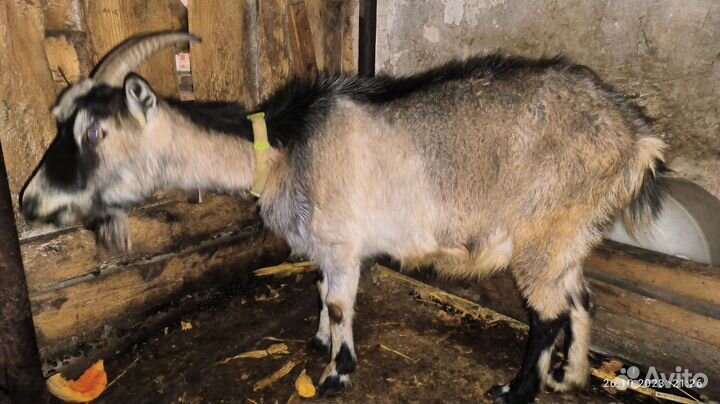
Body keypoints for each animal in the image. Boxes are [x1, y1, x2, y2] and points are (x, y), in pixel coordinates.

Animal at [22, 33, 667, 403]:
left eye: (96, 132)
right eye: (60, 121)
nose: (30, 201)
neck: (285, 147)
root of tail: (637, 138)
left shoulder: (341, 241)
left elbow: (337, 301)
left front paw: (337, 373)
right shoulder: (324, 245)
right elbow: (318, 290)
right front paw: (317, 345)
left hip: (544, 231)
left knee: (548, 314)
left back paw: (516, 389)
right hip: (570, 235)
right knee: (582, 299)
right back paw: (572, 378)